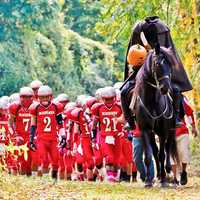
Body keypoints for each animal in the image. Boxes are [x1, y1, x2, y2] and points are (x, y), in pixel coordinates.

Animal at [131, 44, 178, 187]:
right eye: (157, 64)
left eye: (170, 64)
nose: (165, 88)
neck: (151, 100)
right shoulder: (145, 129)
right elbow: (148, 155)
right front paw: (148, 181)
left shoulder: (163, 131)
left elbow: (163, 154)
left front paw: (163, 180)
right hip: (153, 133)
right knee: (155, 151)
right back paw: (157, 176)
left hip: (171, 129)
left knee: (167, 148)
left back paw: (168, 174)